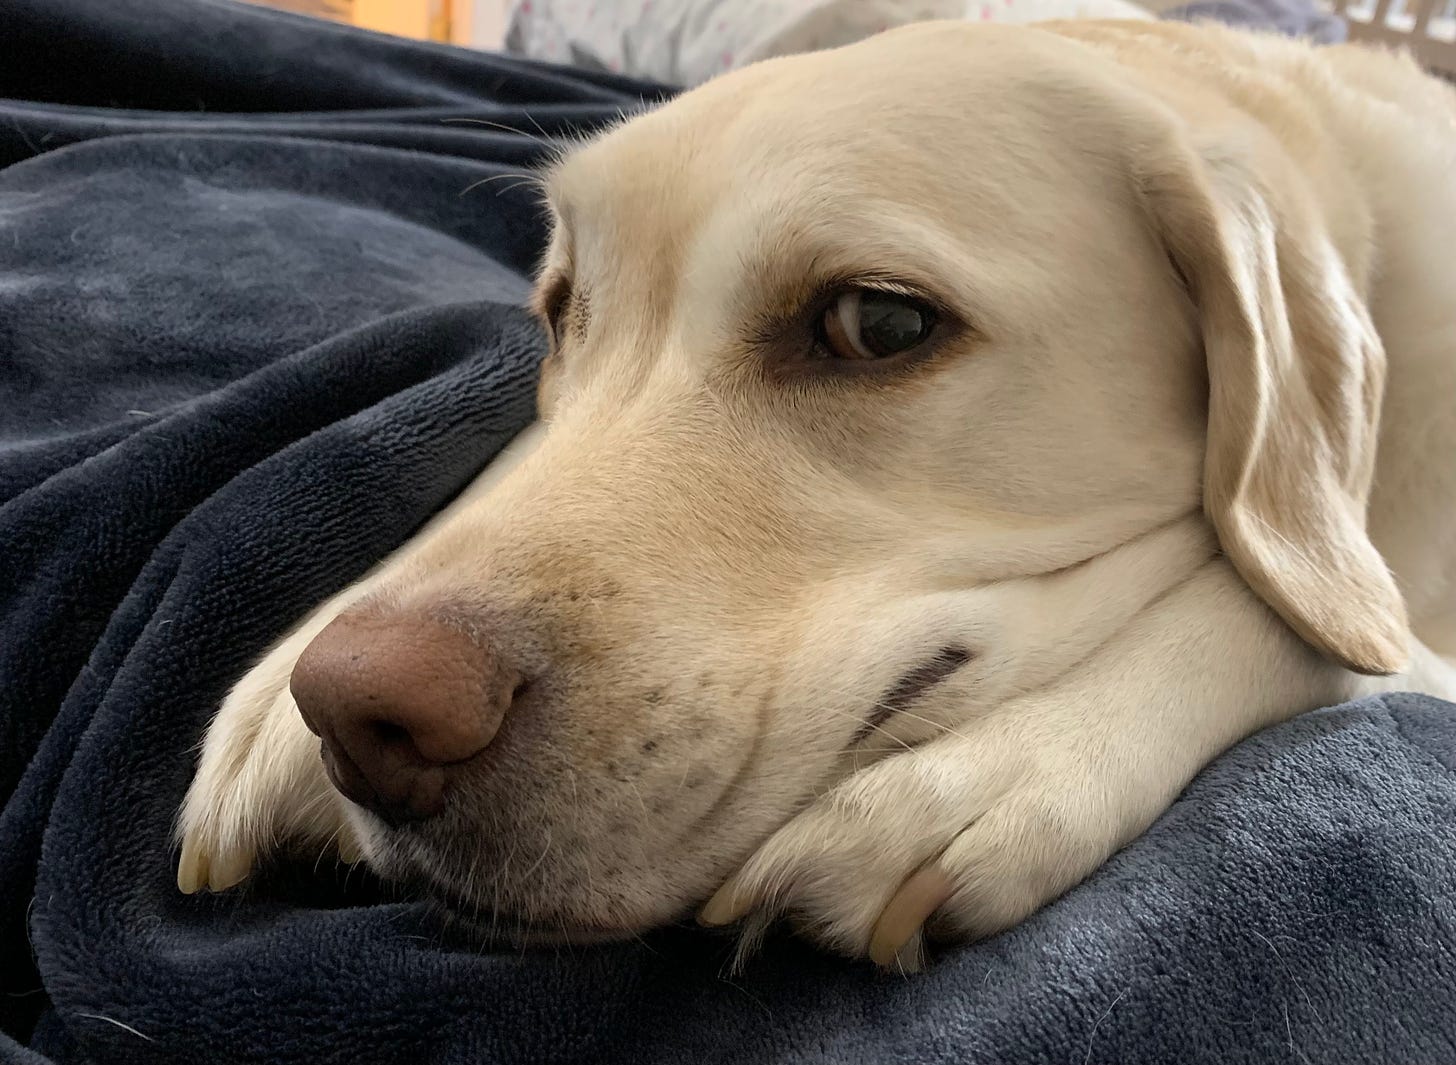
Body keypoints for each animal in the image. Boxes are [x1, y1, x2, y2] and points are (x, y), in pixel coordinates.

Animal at [176, 22, 1456, 973]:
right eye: (558, 312)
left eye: (878, 323)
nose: (361, 717)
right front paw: (278, 699)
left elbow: (1309, 620)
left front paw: (996, 766)